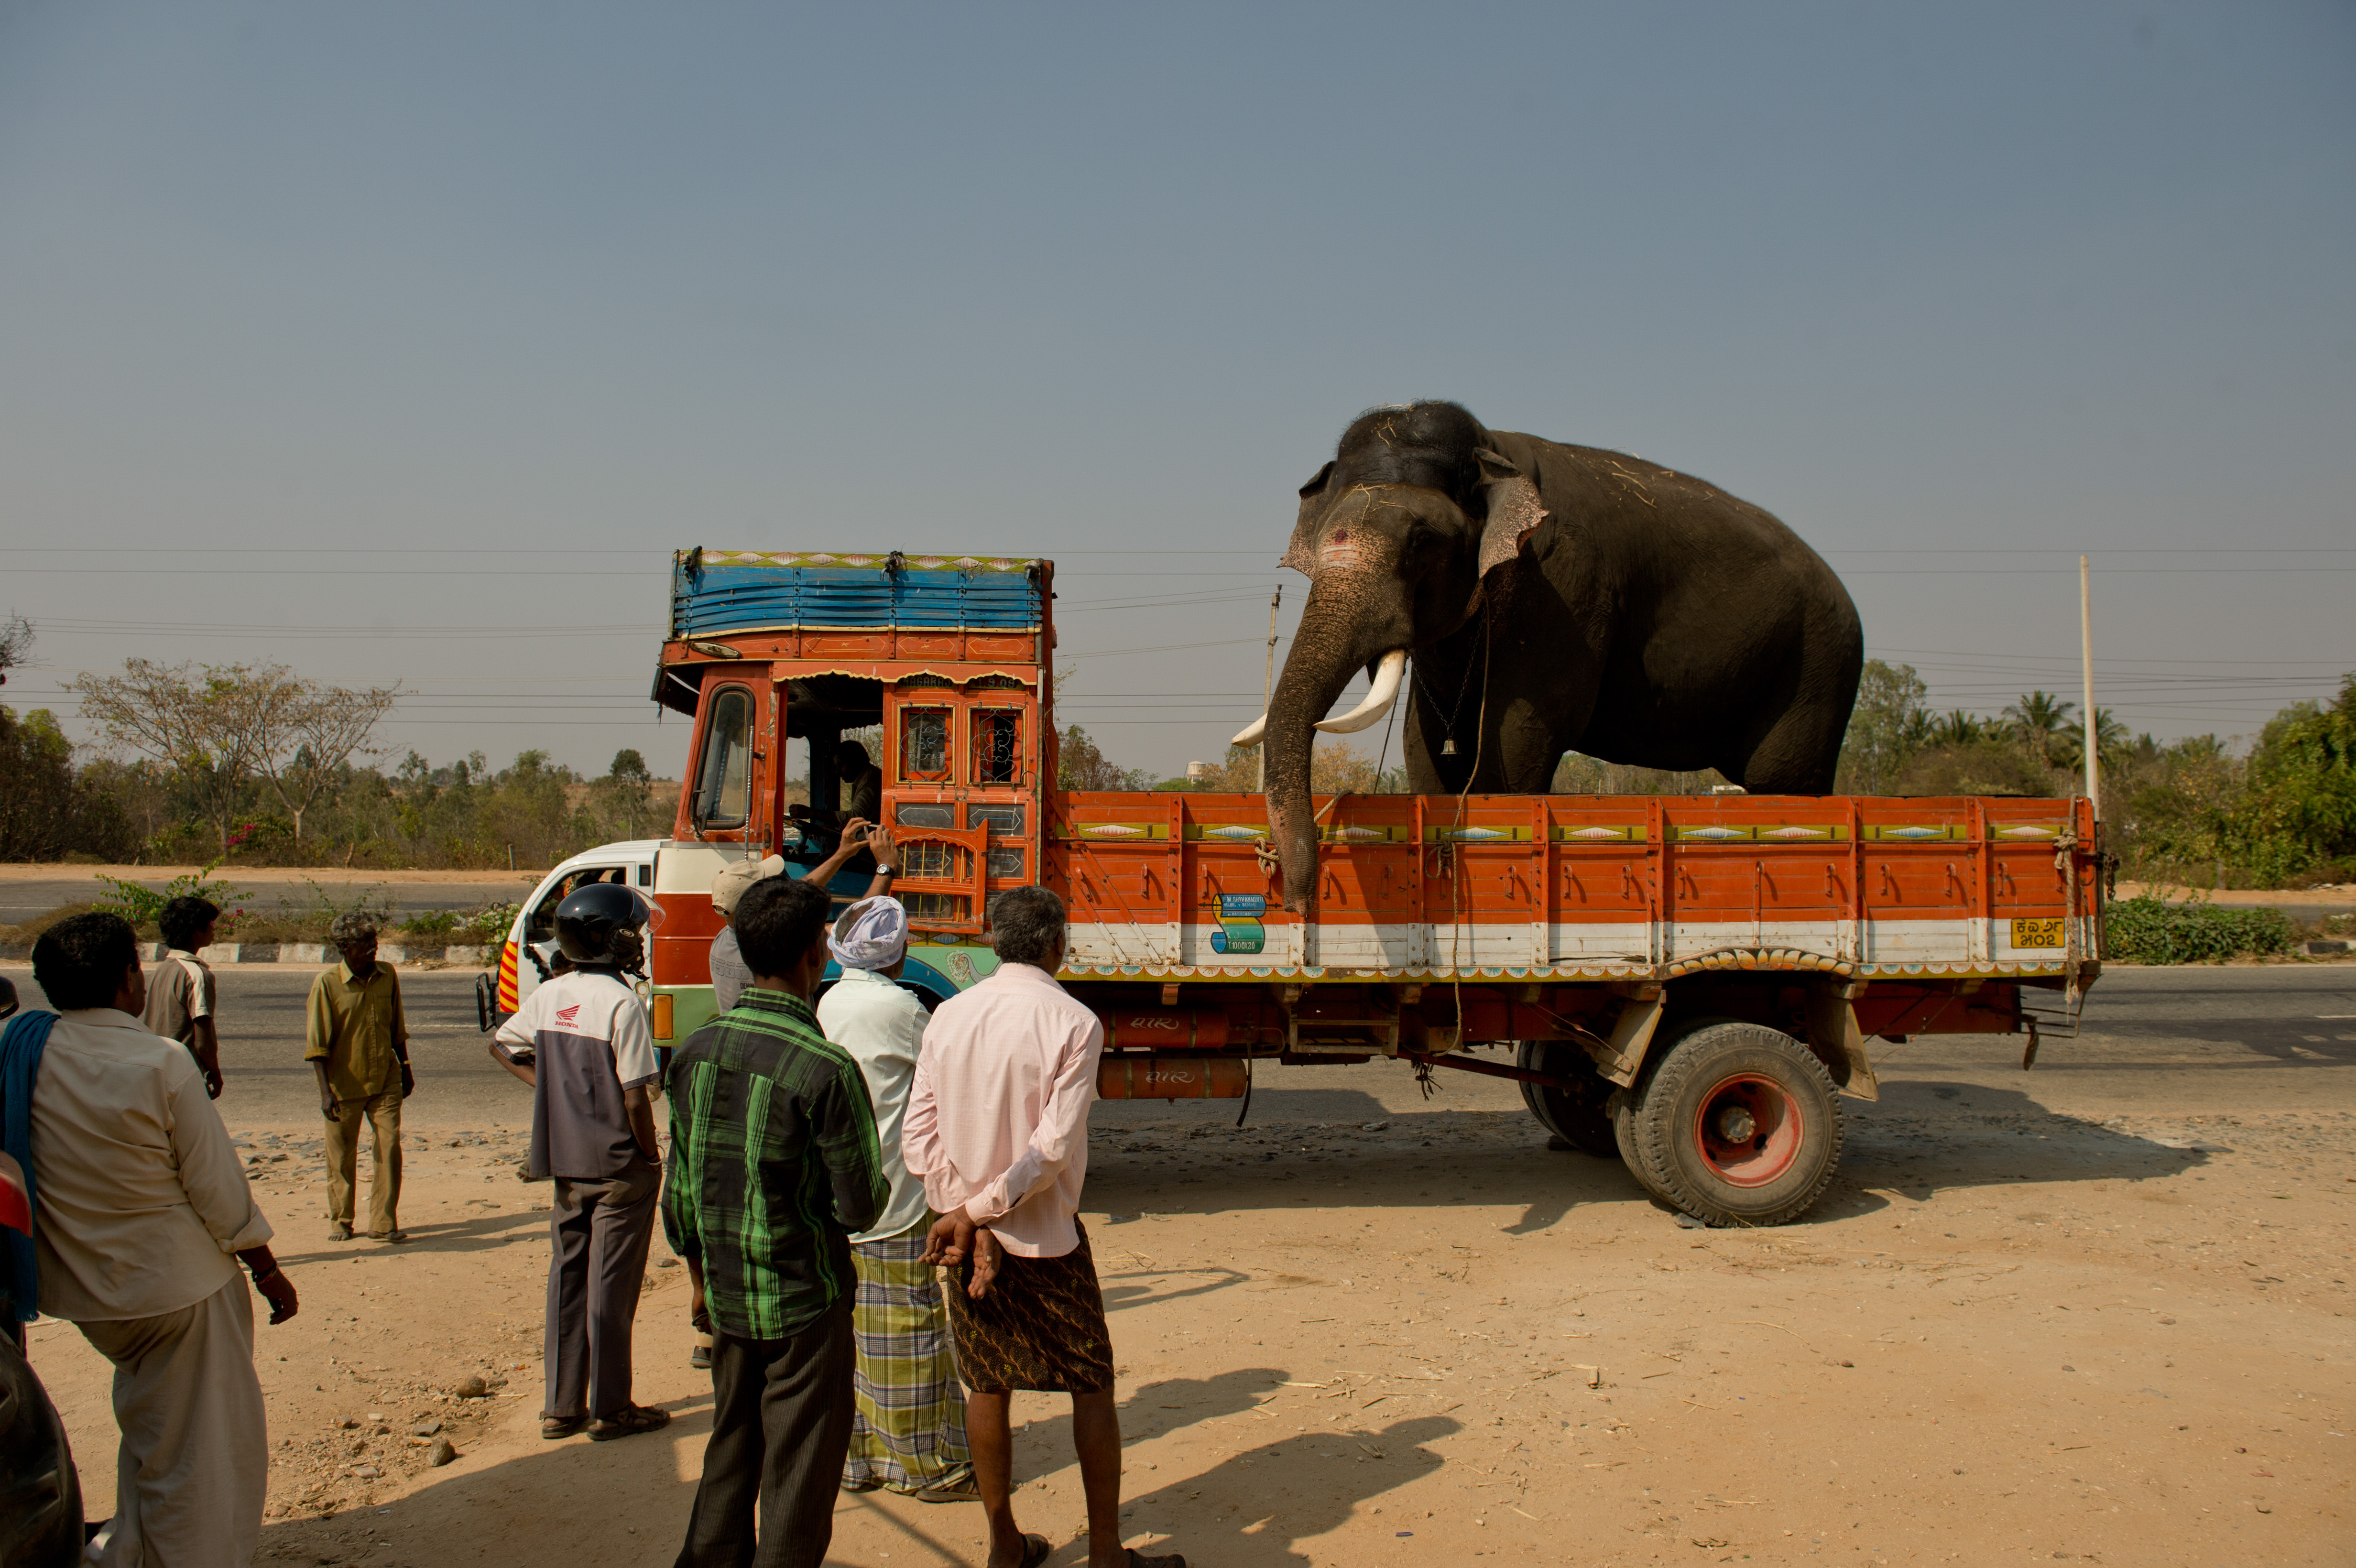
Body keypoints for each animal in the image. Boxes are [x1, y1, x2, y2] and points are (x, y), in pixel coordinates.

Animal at [1235, 401, 1863, 914]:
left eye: (1421, 541)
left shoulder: (1562, 587)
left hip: (1819, 668)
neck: (1492, 450)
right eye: (1319, 543)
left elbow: (1520, 738)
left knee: (1783, 780)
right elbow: (1425, 745)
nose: (1296, 902)